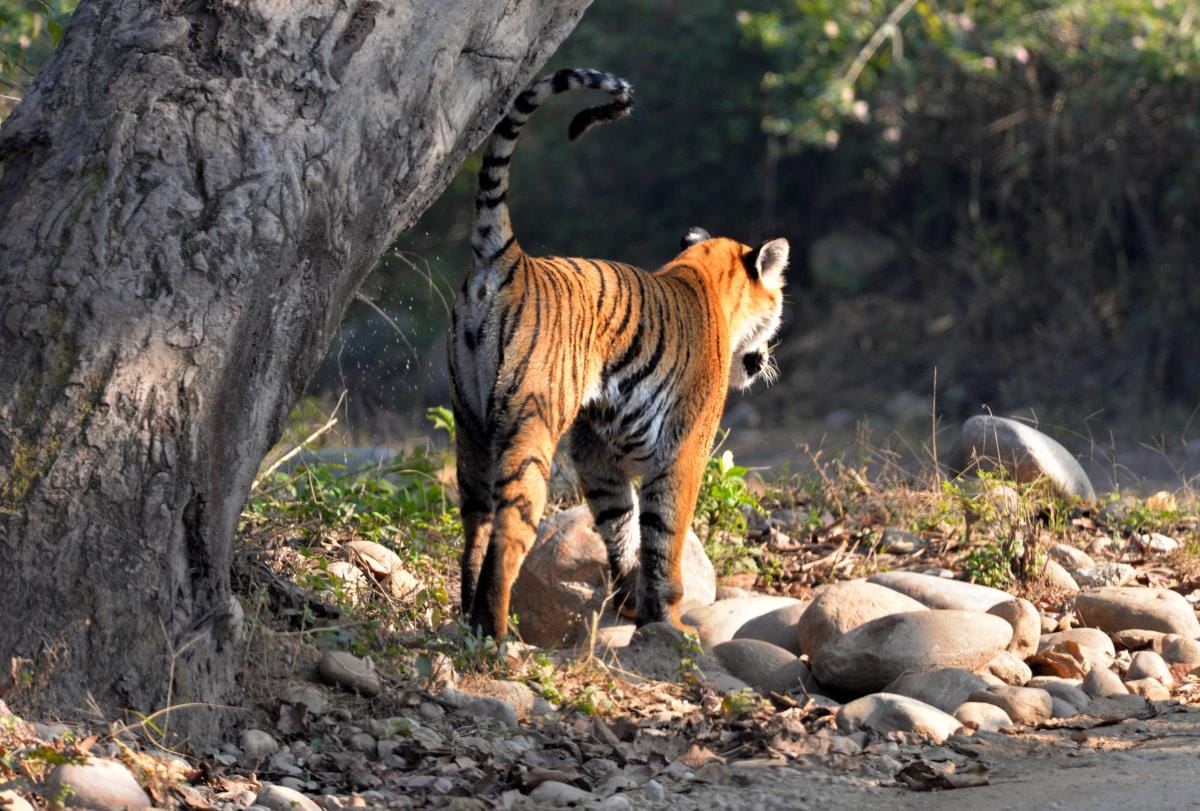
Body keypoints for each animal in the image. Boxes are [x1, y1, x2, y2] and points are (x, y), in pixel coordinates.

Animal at [449, 67, 789, 641]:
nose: (764, 358)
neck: (703, 274)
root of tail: (509, 257)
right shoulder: (685, 449)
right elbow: (665, 535)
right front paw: (671, 622)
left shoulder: (597, 451)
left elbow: (622, 526)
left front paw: (636, 605)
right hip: (532, 425)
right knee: (509, 530)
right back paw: (496, 635)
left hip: (469, 425)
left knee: (474, 525)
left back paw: (466, 624)